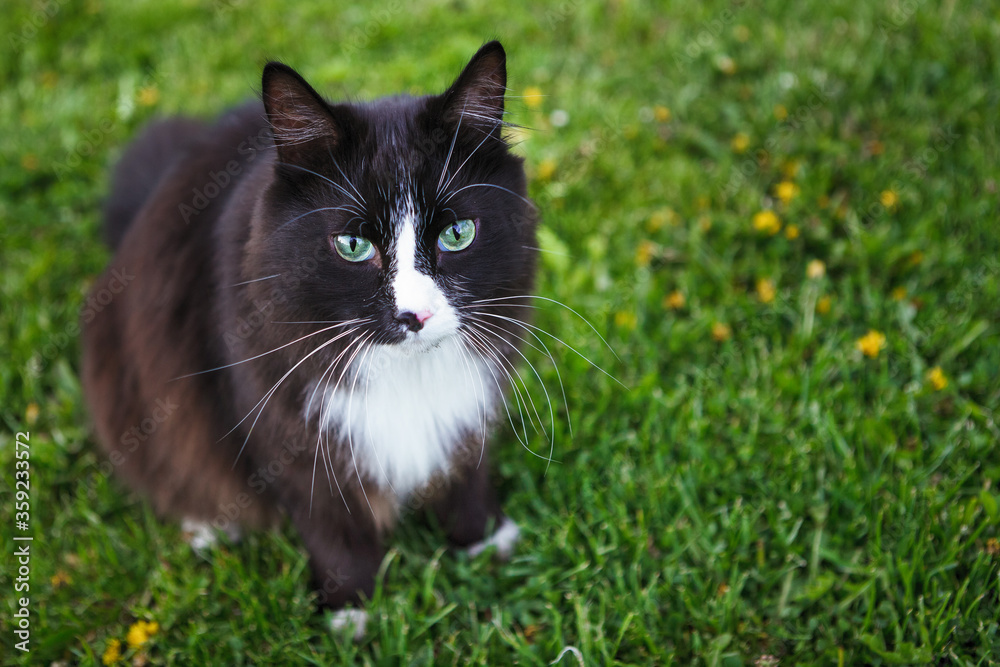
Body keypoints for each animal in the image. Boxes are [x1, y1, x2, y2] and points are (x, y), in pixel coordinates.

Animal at [83, 39, 540, 636]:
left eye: (457, 235)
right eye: (352, 246)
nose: (414, 315)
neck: (403, 372)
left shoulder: (469, 402)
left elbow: (467, 471)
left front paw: (483, 540)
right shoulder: (291, 435)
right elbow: (331, 527)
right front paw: (351, 612)